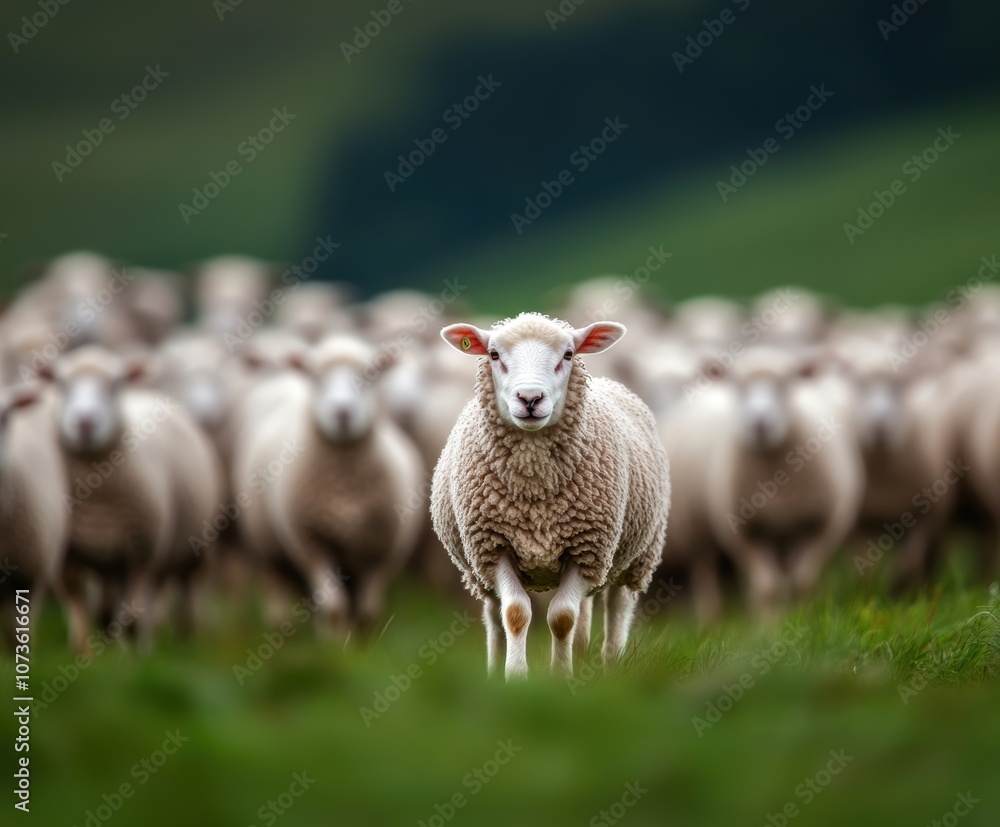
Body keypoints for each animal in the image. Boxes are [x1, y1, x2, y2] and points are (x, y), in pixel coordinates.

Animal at [45, 346, 224, 648]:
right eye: (61, 384)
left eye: (115, 384)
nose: (84, 422)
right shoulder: (65, 551)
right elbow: (74, 598)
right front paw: (83, 648)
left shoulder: (142, 550)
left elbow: (132, 611)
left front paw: (131, 652)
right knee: (110, 595)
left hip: (190, 546)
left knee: (181, 588)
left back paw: (181, 636)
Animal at [231, 335, 425, 637]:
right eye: (317, 377)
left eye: (369, 375)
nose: (342, 412)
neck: (343, 487)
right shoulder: (312, 543)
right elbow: (334, 607)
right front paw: (335, 645)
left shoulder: (382, 551)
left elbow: (369, 612)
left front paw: (362, 646)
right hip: (268, 546)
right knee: (278, 585)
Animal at [430, 313, 671, 679]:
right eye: (494, 354)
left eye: (569, 355)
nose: (530, 398)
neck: (535, 487)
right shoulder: (494, 547)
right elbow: (515, 613)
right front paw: (515, 676)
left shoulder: (587, 550)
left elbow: (562, 617)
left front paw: (560, 676)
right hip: (479, 569)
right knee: (495, 614)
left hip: (637, 554)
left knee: (616, 605)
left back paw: (610, 664)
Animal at [705, 346, 863, 616]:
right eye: (739, 386)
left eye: (785, 384)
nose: (759, 423)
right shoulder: (745, 533)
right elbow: (768, 588)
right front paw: (769, 624)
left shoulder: (821, 525)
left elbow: (802, 581)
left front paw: (805, 615)